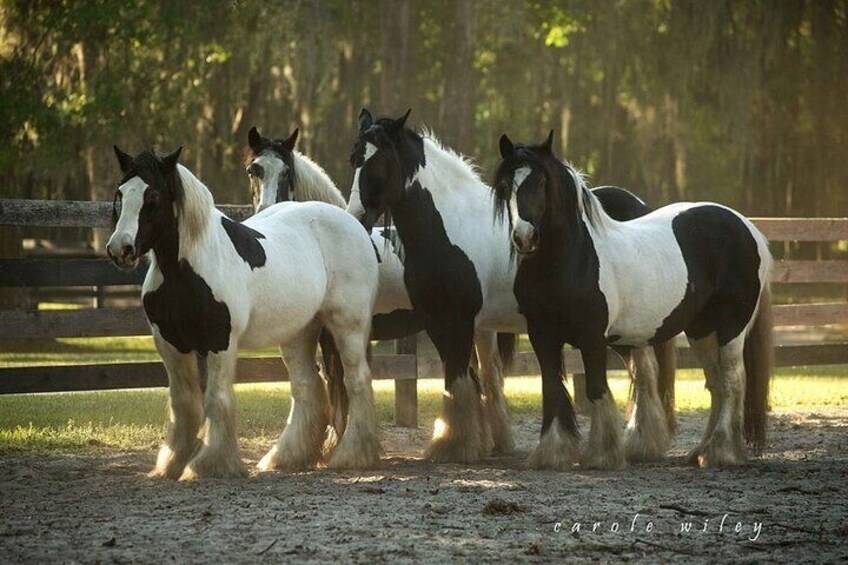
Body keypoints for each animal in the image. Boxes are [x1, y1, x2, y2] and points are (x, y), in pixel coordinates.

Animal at [106, 145, 380, 476]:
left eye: (153, 196)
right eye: (120, 194)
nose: (120, 249)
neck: (185, 270)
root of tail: (352, 223)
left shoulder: (220, 342)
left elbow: (216, 399)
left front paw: (209, 464)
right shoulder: (170, 344)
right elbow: (183, 404)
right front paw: (171, 464)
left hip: (347, 325)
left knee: (357, 380)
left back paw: (353, 455)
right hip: (299, 332)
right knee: (306, 387)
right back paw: (285, 457)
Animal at [344, 109, 676, 468]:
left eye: (380, 161)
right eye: (354, 158)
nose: (356, 216)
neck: (448, 226)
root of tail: (639, 207)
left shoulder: (460, 321)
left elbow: (460, 378)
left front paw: (456, 446)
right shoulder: (437, 322)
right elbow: (461, 380)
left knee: (644, 371)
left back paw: (640, 443)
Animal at [494, 132, 772, 468]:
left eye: (542, 181)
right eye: (506, 185)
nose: (524, 238)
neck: (573, 259)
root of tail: (748, 228)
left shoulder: (592, 338)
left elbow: (595, 389)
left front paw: (601, 455)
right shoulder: (541, 336)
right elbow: (552, 389)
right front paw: (552, 453)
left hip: (732, 328)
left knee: (732, 381)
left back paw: (721, 452)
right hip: (701, 330)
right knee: (716, 383)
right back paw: (700, 451)